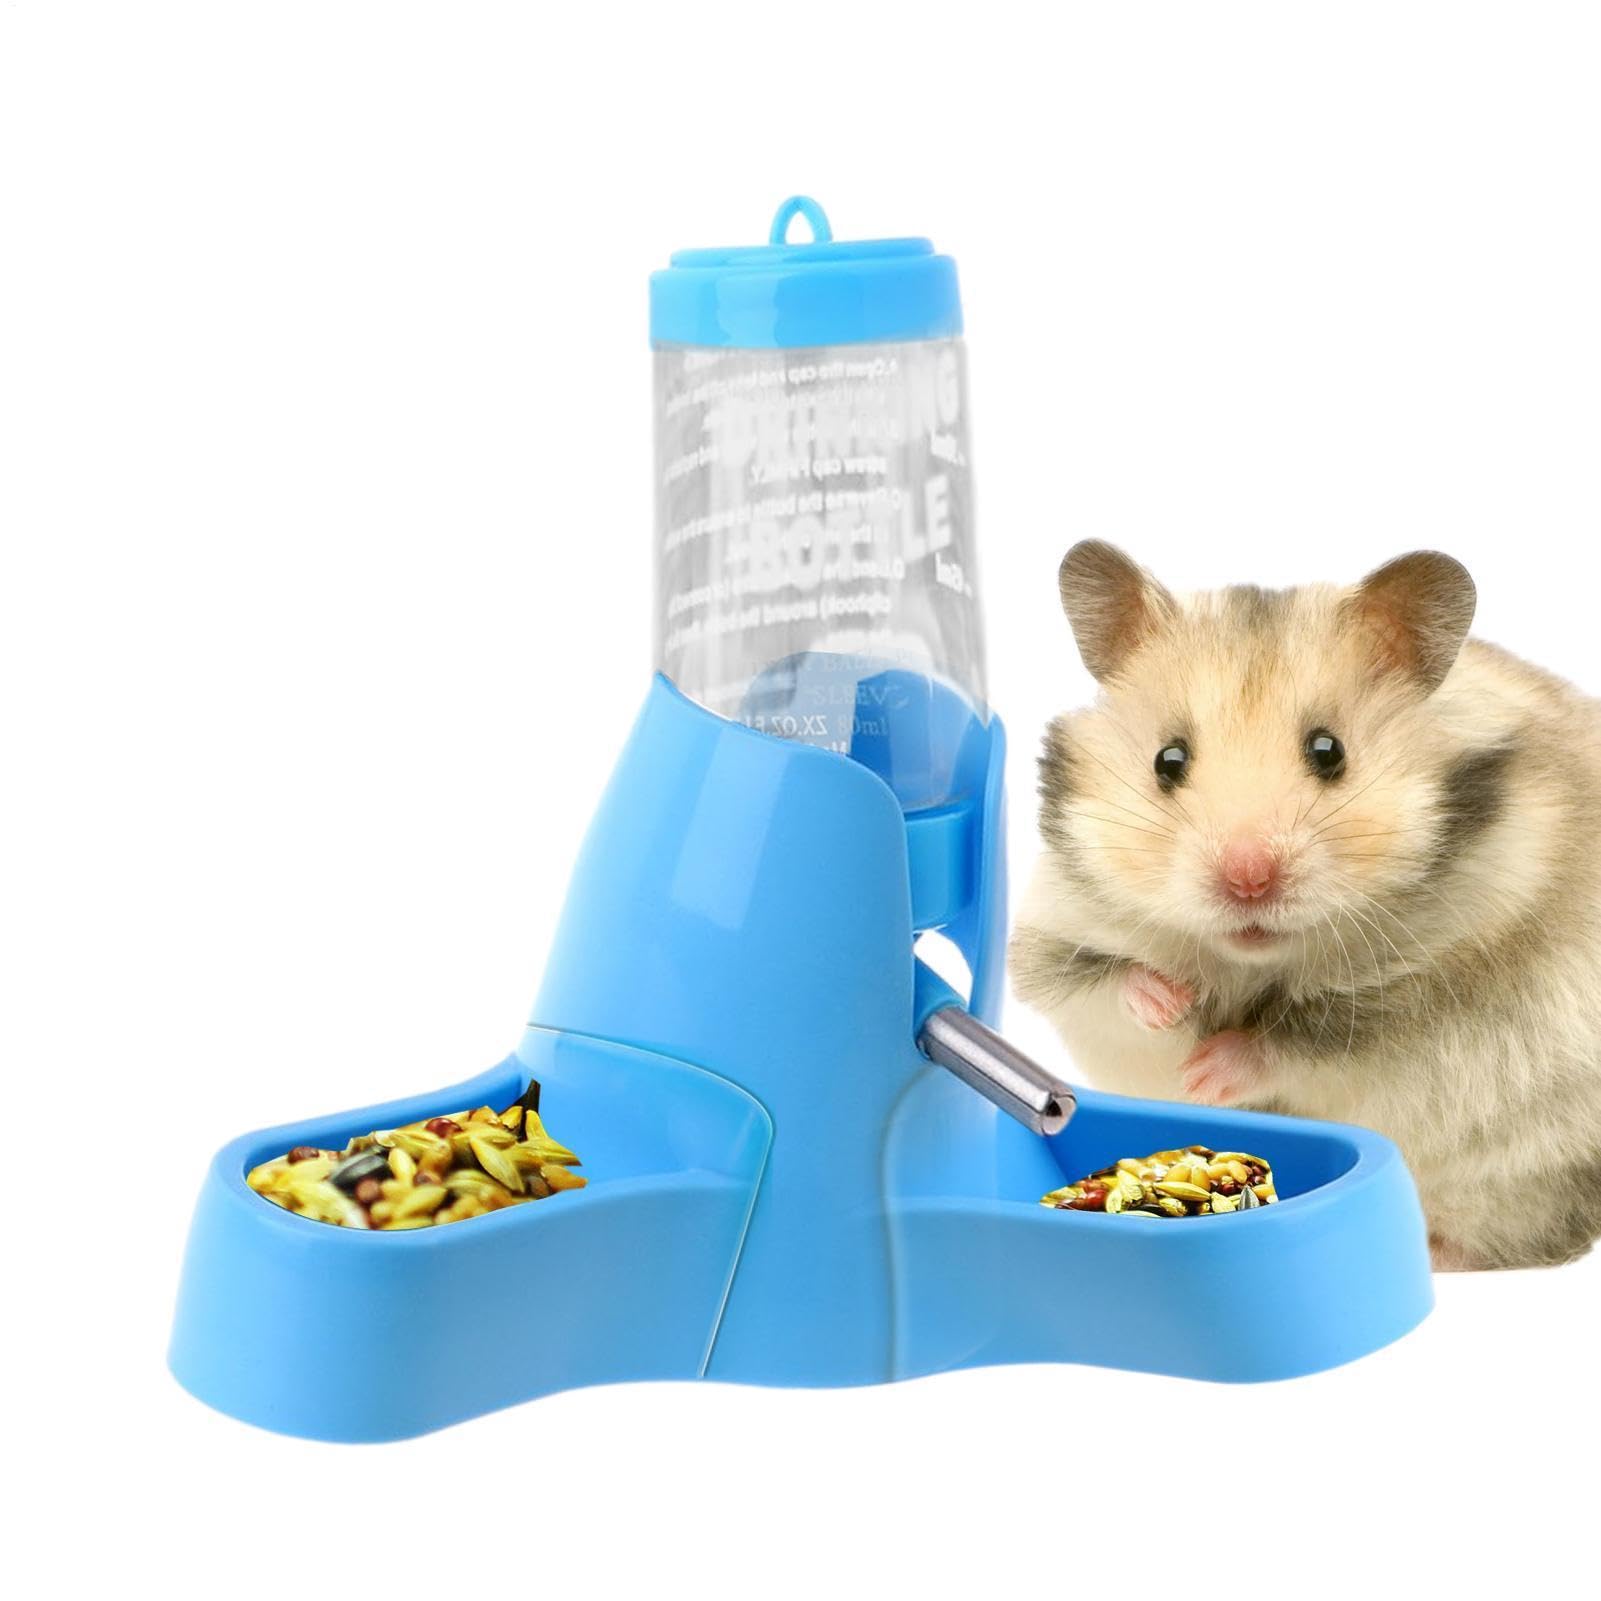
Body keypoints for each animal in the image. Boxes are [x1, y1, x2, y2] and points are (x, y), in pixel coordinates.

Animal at [1011, 541, 1601, 1270]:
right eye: (1166, 760)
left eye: (1329, 750)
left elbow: (1300, 1040)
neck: (1255, 961)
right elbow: (1107, 985)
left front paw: (1207, 1072)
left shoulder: (1431, 1006)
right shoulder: (1049, 950)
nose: (1248, 880)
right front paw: (1171, 1009)